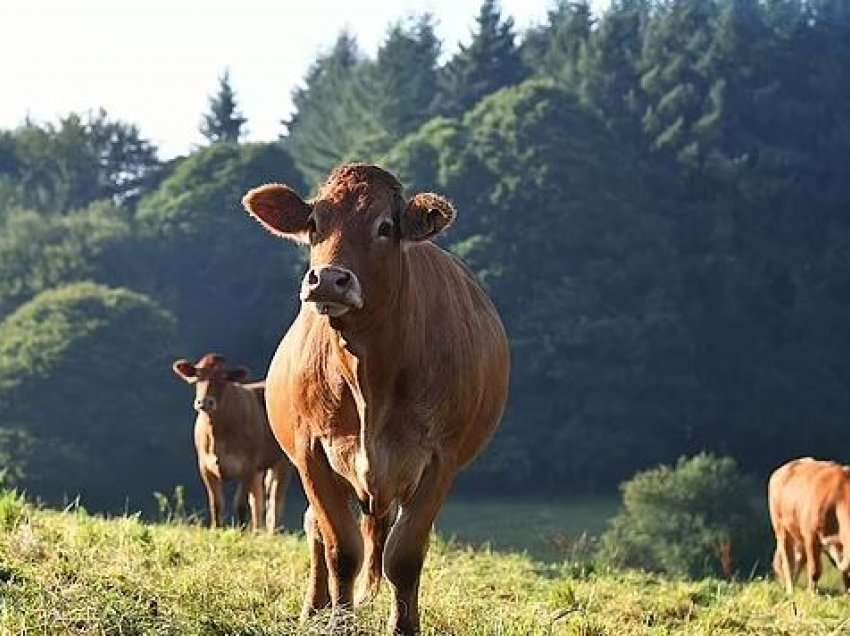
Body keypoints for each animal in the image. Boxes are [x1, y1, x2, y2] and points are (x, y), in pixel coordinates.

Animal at [171, 352, 294, 532]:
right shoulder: (205, 467)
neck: (218, 435)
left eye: (223, 378)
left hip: (283, 461)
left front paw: (241, 532)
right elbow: (216, 504)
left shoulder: (248, 467)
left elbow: (240, 504)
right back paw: (257, 531)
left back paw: (272, 532)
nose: (204, 402)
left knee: (275, 500)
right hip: (261, 468)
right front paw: (217, 530)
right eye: (198, 376)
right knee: (258, 500)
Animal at [764, 458, 848, 592]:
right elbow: (815, 571)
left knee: (798, 559)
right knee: (788, 561)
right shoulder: (811, 535)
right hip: (781, 529)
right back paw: (790, 590)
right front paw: (812, 593)